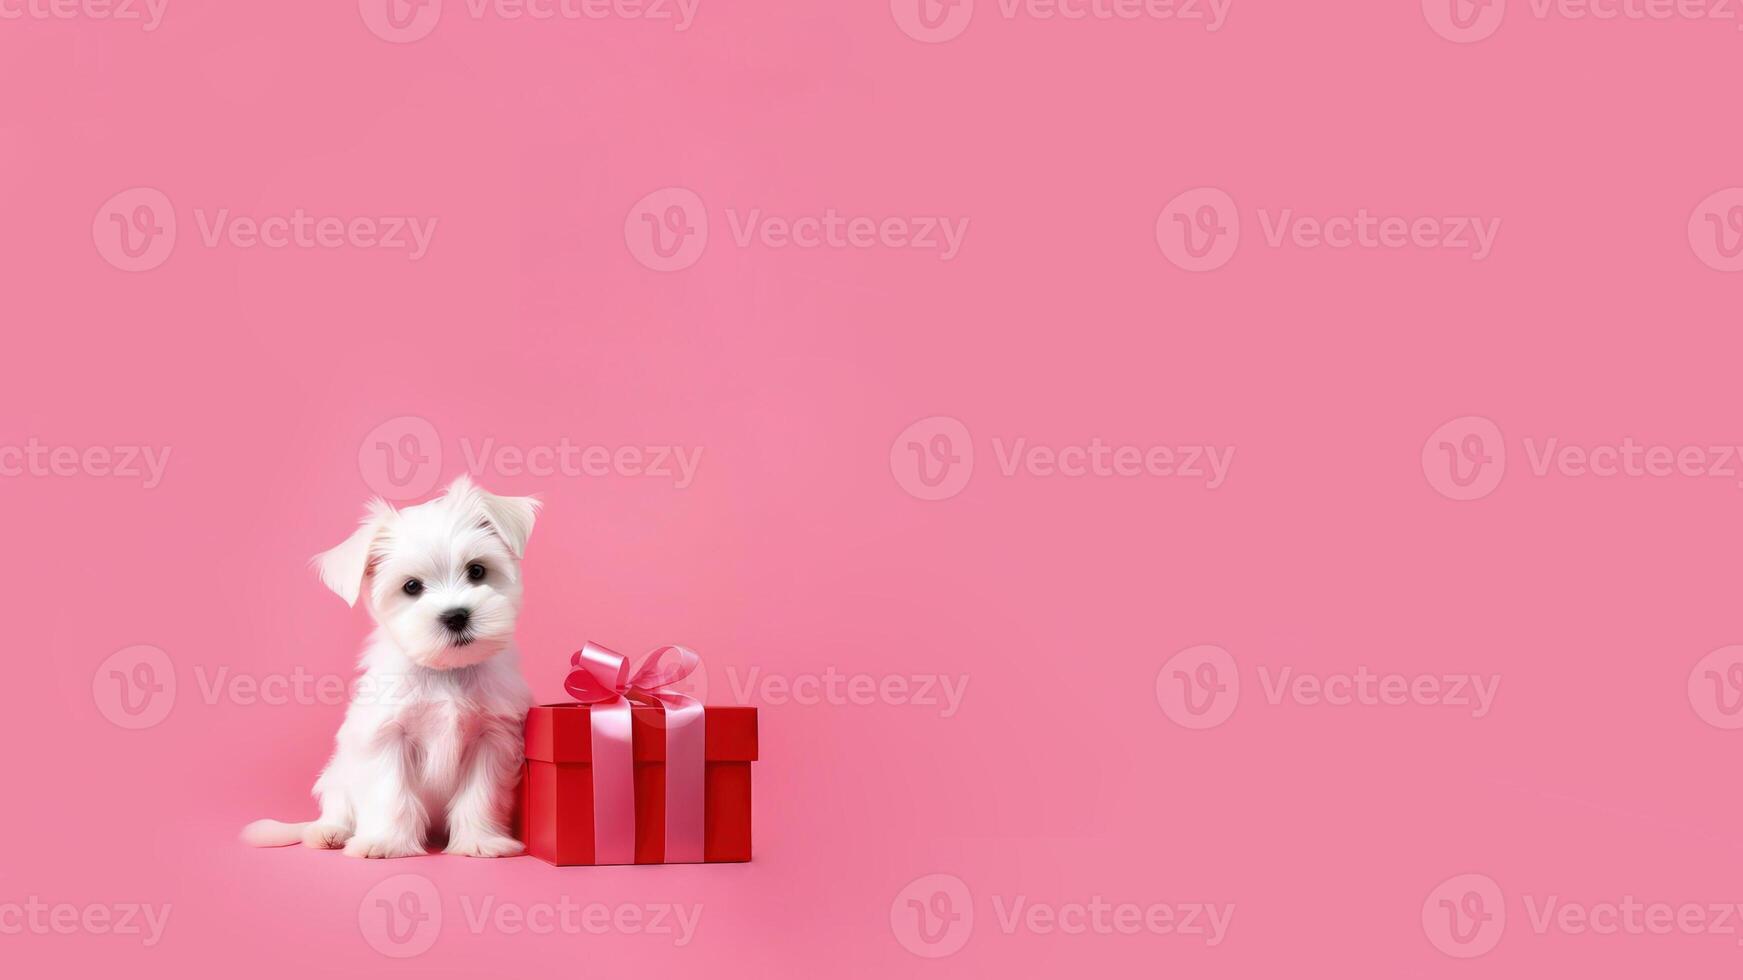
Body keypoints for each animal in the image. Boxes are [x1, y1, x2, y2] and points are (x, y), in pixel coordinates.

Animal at [242, 474, 533, 854]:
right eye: (411, 587)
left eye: (477, 570)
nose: (455, 616)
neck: (444, 672)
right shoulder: (385, 737)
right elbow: (391, 793)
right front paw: (385, 843)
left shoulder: (491, 738)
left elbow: (478, 796)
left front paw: (479, 842)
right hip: (336, 775)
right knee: (337, 807)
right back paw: (328, 833)